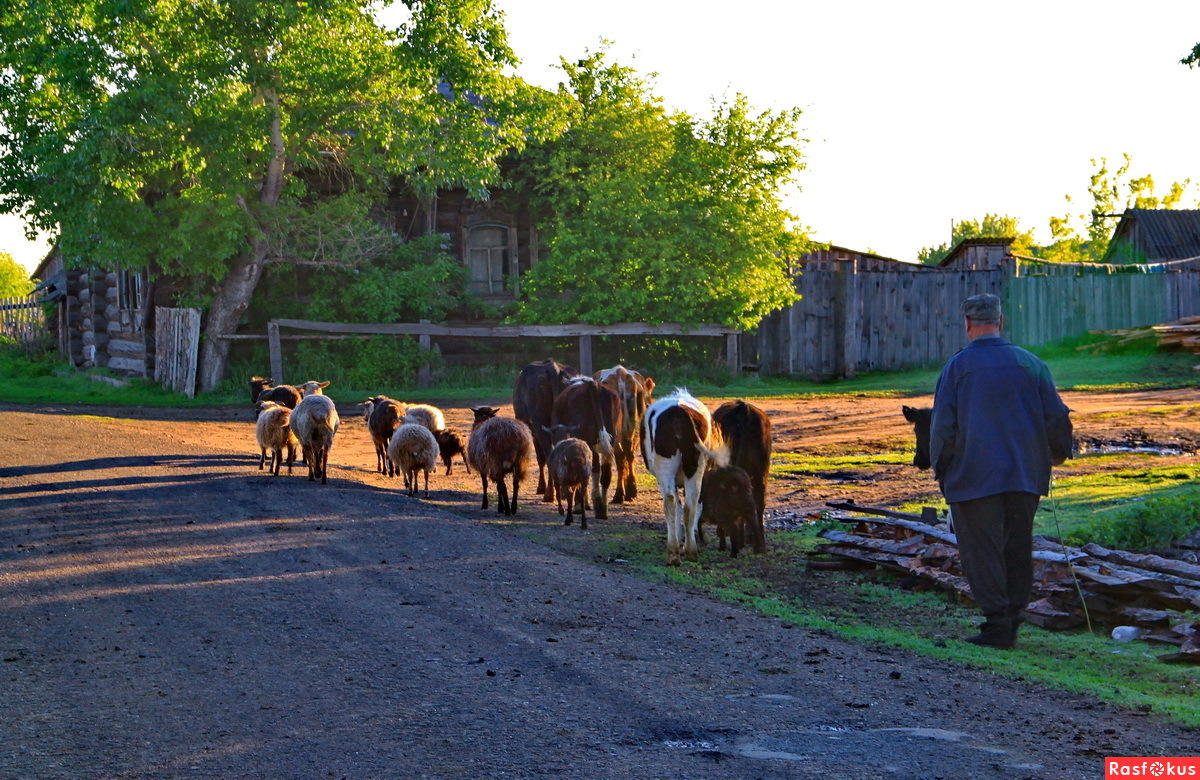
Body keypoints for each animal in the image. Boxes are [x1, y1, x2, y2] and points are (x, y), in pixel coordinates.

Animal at [511, 357, 576, 499]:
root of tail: (553, 367)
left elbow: (540, 458)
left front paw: (541, 487)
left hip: (538, 424)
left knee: (548, 453)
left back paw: (549, 494)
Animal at [552, 374, 624, 518]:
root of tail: (593, 385)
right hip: (610, 440)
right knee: (604, 473)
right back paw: (602, 509)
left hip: (588, 440)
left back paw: (582, 505)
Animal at [592, 362, 657, 501]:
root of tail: (620, 373)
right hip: (632, 425)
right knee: (629, 453)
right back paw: (631, 490)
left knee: (621, 456)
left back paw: (620, 493)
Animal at [643, 388, 724, 564]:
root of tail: (678, 411)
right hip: (691, 466)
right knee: (688, 505)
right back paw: (688, 551)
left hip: (668, 467)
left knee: (672, 502)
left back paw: (676, 550)